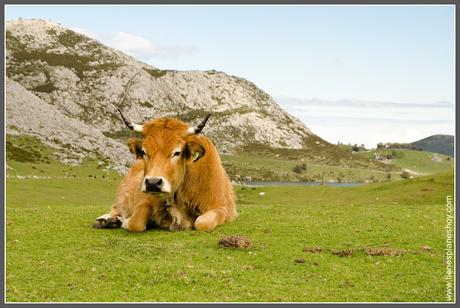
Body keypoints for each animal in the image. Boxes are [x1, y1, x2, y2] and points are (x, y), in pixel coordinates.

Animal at [93, 112, 237, 232]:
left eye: (177, 152)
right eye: (144, 151)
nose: (153, 182)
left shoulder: (221, 209)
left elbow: (202, 223)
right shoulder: (146, 199)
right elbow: (136, 222)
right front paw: (122, 221)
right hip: (121, 198)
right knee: (115, 209)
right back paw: (104, 220)